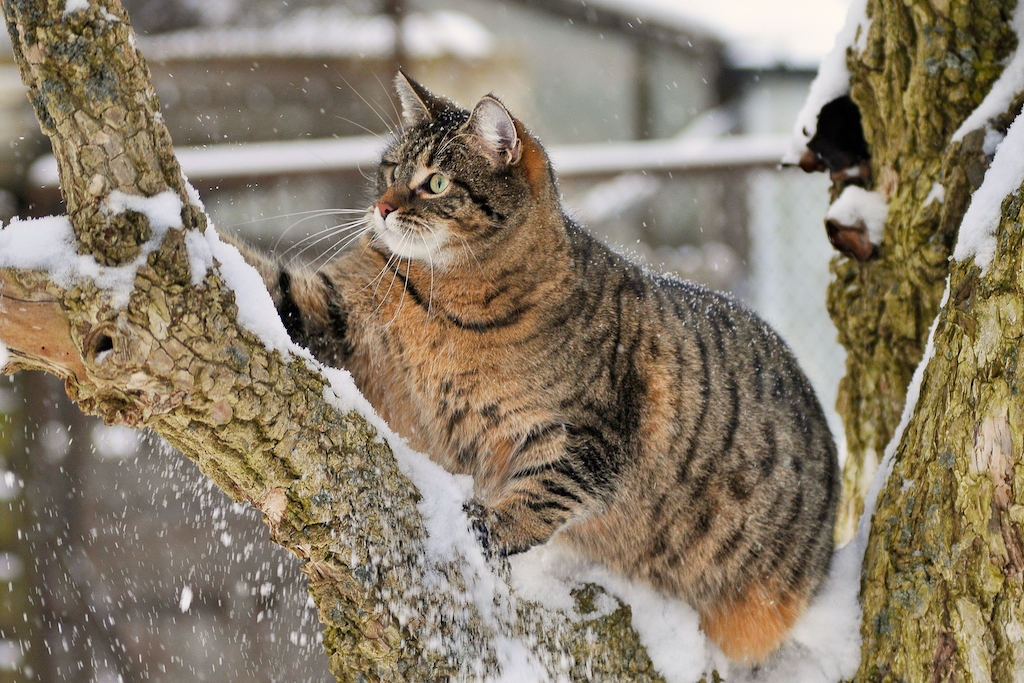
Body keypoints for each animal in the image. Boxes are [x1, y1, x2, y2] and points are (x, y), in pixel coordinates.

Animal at [230, 70, 839, 663]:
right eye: (389, 171)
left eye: (436, 183)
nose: (381, 209)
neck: (448, 300)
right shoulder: (338, 316)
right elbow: (272, 288)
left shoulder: (588, 435)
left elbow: (547, 490)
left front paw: (488, 524)